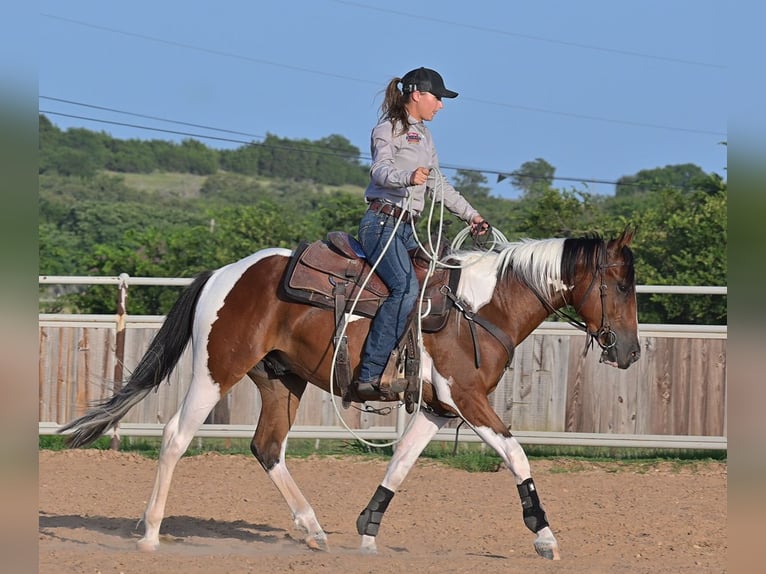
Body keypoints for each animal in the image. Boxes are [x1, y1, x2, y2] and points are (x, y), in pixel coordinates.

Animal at [59, 226, 640, 560]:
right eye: (620, 285)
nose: (631, 352)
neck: (480, 307)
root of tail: (225, 273)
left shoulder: (436, 408)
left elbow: (400, 464)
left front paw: (367, 529)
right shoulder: (468, 400)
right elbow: (516, 454)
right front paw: (544, 535)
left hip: (281, 380)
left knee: (268, 448)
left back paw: (314, 529)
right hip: (215, 369)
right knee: (176, 436)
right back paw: (151, 533)